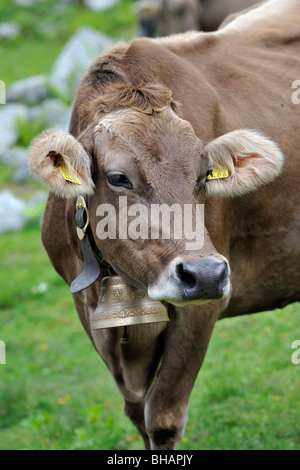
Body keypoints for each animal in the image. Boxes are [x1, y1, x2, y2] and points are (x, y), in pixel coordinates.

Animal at [28, 0, 300, 448]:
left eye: (205, 175)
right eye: (118, 177)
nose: (204, 273)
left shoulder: (202, 309)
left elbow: (162, 418)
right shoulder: (87, 311)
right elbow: (136, 415)